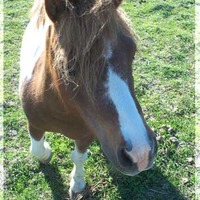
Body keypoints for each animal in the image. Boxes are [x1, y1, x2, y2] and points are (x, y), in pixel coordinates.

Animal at [18, 0, 156, 198]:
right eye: (68, 68)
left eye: (132, 52)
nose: (140, 153)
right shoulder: (34, 124)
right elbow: (36, 150)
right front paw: (46, 154)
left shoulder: (86, 134)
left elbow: (79, 157)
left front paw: (77, 183)